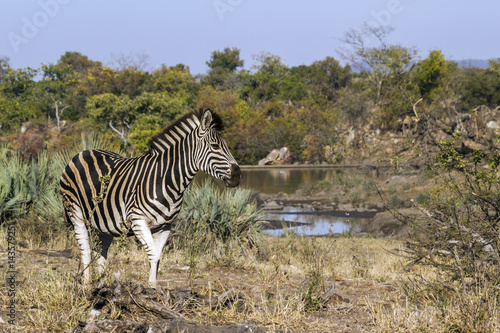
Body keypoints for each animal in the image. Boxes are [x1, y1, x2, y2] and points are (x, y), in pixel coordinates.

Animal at [60, 109, 242, 288]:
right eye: (215, 146)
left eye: (226, 146)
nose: (238, 175)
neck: (166, 181)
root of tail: (83, 152)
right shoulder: (138, 221)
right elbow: (153, 255)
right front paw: (151, 292)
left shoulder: (164, 226)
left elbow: (157, 257)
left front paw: (153, 290)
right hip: (76, 213)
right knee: (85, 251)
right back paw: (86, 286)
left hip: (103, 223)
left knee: (100, 253)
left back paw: (101, 285)